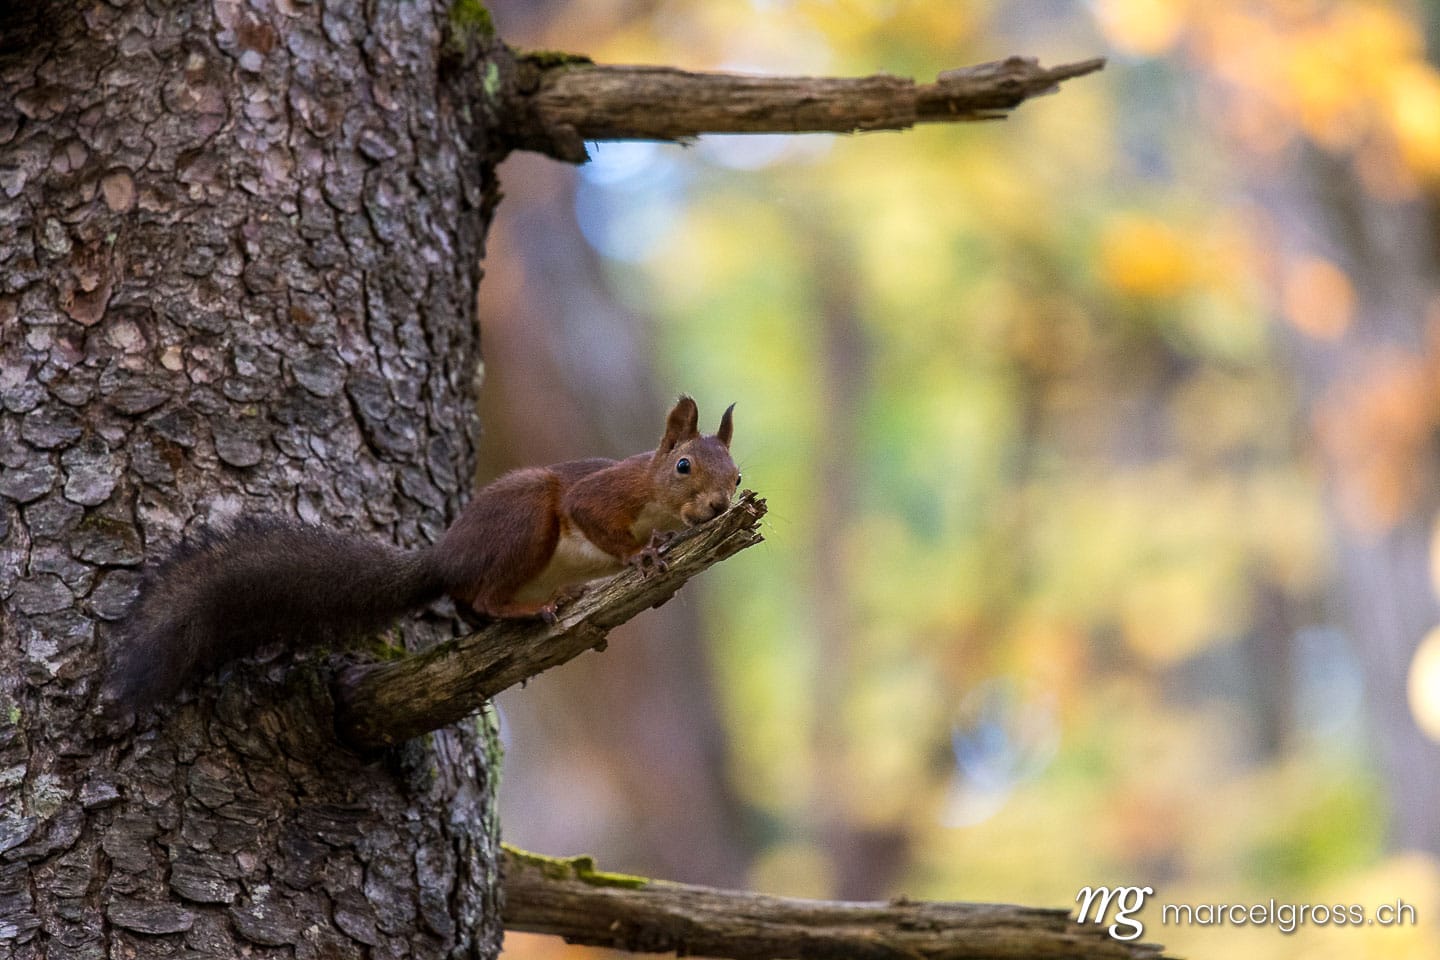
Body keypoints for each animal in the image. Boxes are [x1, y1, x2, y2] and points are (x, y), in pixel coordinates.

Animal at [105, 396, 740, 713]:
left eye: (736, 476)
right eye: (684, 466)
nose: (718, 505)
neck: (655, 493)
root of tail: (444, 557)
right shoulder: (604, 494)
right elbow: (594, 518)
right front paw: (642, 556)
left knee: (468, 605)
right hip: (525, 519)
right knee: (483, 596)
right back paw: (531, 610)